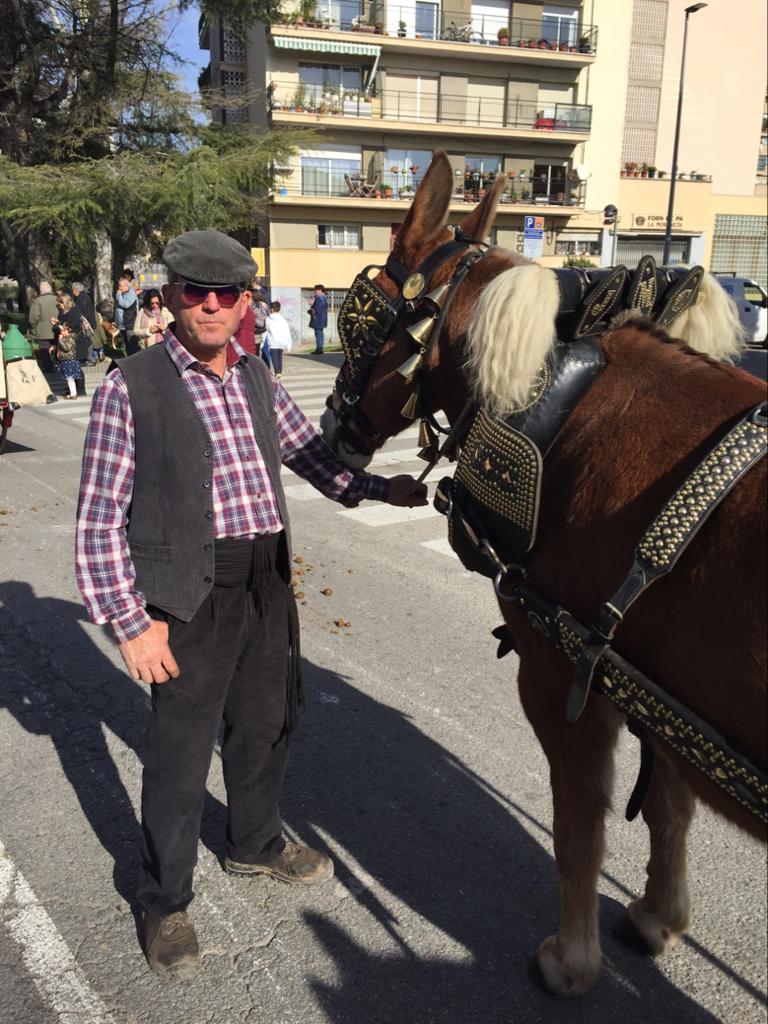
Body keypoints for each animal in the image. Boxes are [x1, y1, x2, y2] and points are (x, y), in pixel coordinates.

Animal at [319, 155, 768, 995]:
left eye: (354, 319)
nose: (332, 427)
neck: (568, 406)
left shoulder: (563, 671)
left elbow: (579, 825)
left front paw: (571, 959)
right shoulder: (652, 685)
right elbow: (670, 804)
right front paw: (658, 915)